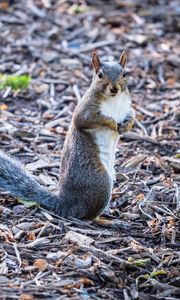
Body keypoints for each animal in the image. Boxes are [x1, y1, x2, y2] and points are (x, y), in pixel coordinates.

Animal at [0, 51, 134, 224]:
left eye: (124, 74)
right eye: (99, 75)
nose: (114, 88)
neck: (114, 100)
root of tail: (65, 202)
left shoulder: (126, 107)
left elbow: (132, 115)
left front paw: (126, 126)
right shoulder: (85, 110)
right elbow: (86, 120)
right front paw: (111, 124)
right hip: (100, 182)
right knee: (87, 217)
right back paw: (108, 221)